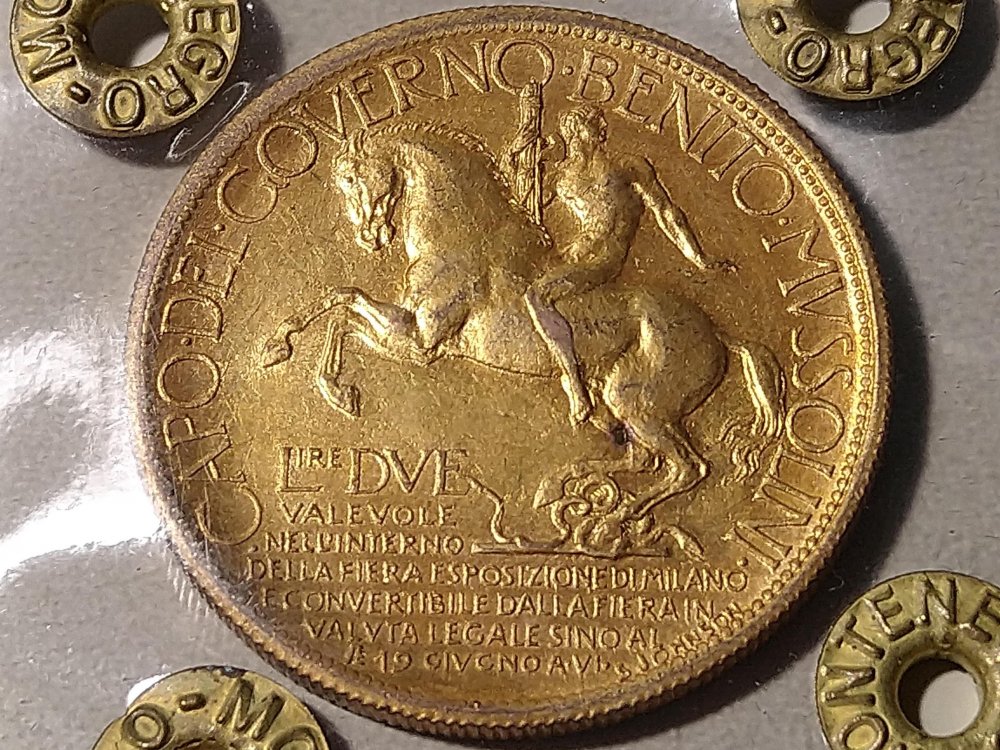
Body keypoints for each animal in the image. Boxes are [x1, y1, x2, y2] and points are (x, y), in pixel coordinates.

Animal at [262, 122, 785, 528]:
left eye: (353, 177)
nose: (369, 235)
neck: (462, 238)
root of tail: (720, 334)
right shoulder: (417, 335)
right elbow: (341, 303)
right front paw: (290, 355)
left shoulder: (422, 341)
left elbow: (344, 304)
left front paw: (322, 379)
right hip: (626, 396)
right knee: (643, 458)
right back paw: (572, 478)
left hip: (641, 402)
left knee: (688, 468)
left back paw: (618, 510)